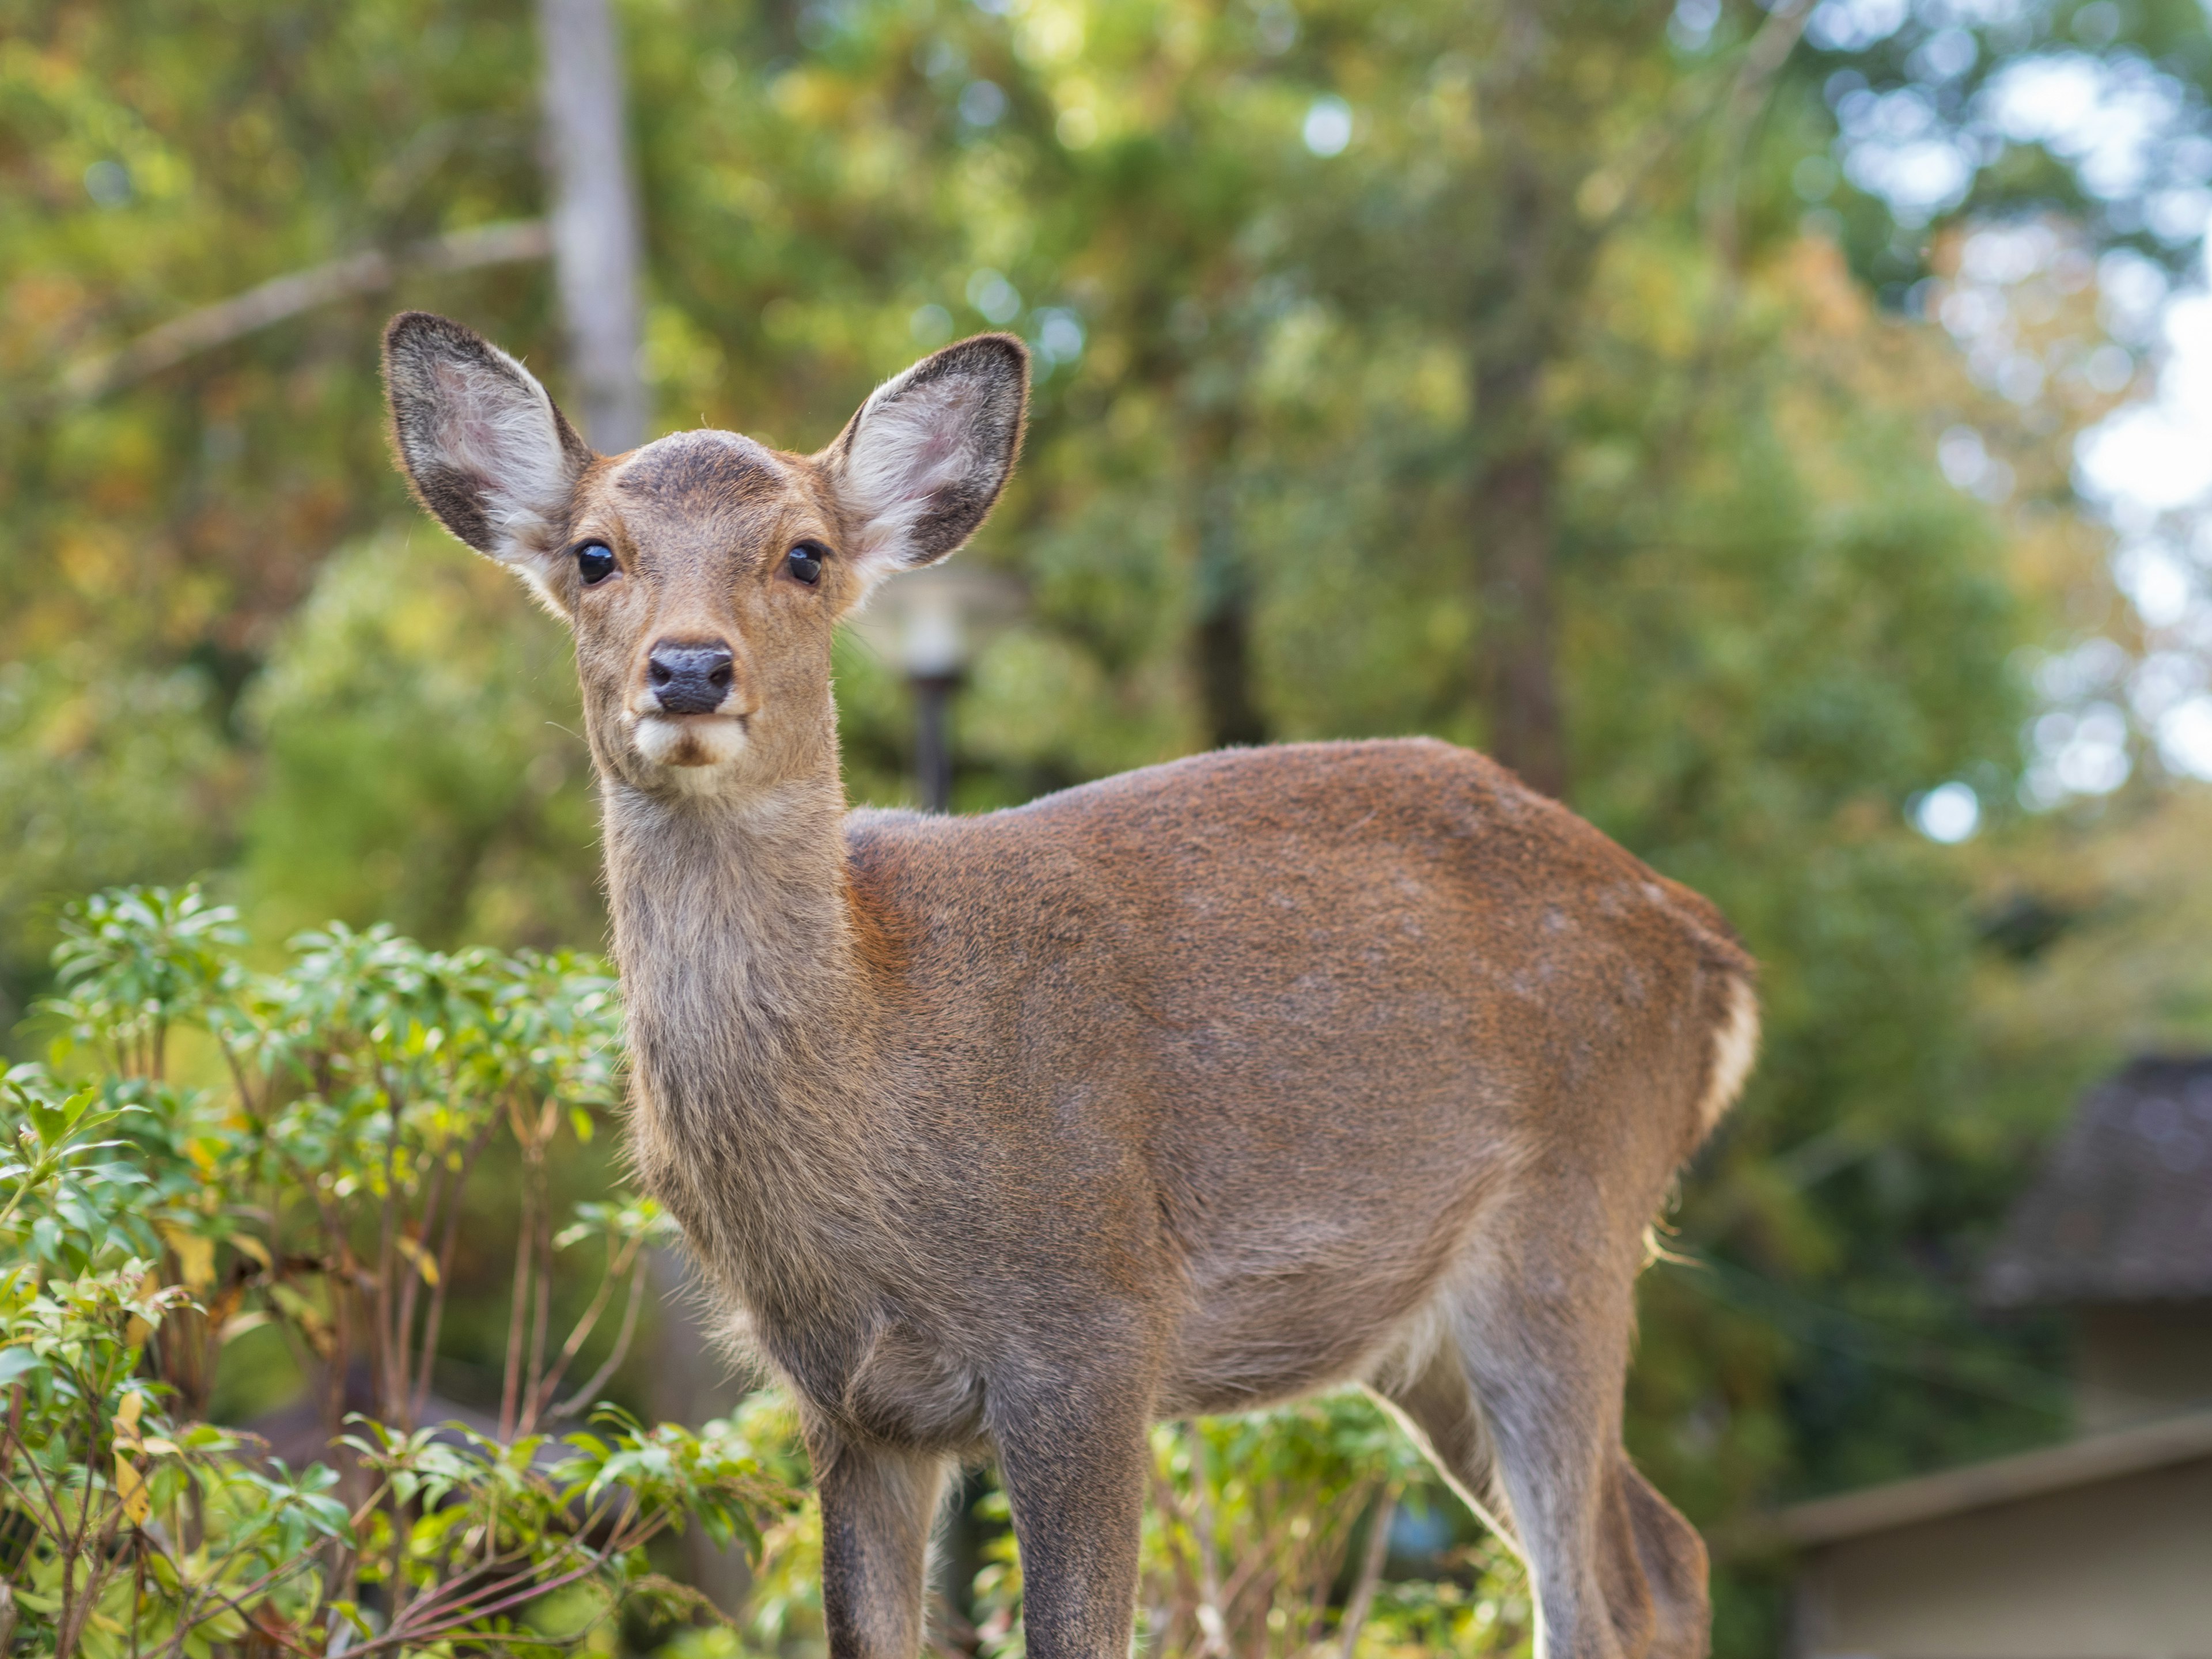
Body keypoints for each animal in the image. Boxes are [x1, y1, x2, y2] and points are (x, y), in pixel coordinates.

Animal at [385, 312, 1760, 1659]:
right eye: (595, 554)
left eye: (806, 556)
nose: (688, 669)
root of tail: (1715, 963)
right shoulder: (843, 1398)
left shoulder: (1094, 1324)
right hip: (1422, 1325)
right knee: (1663, 1552)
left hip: (1572, 1213)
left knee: (1592, 1589)